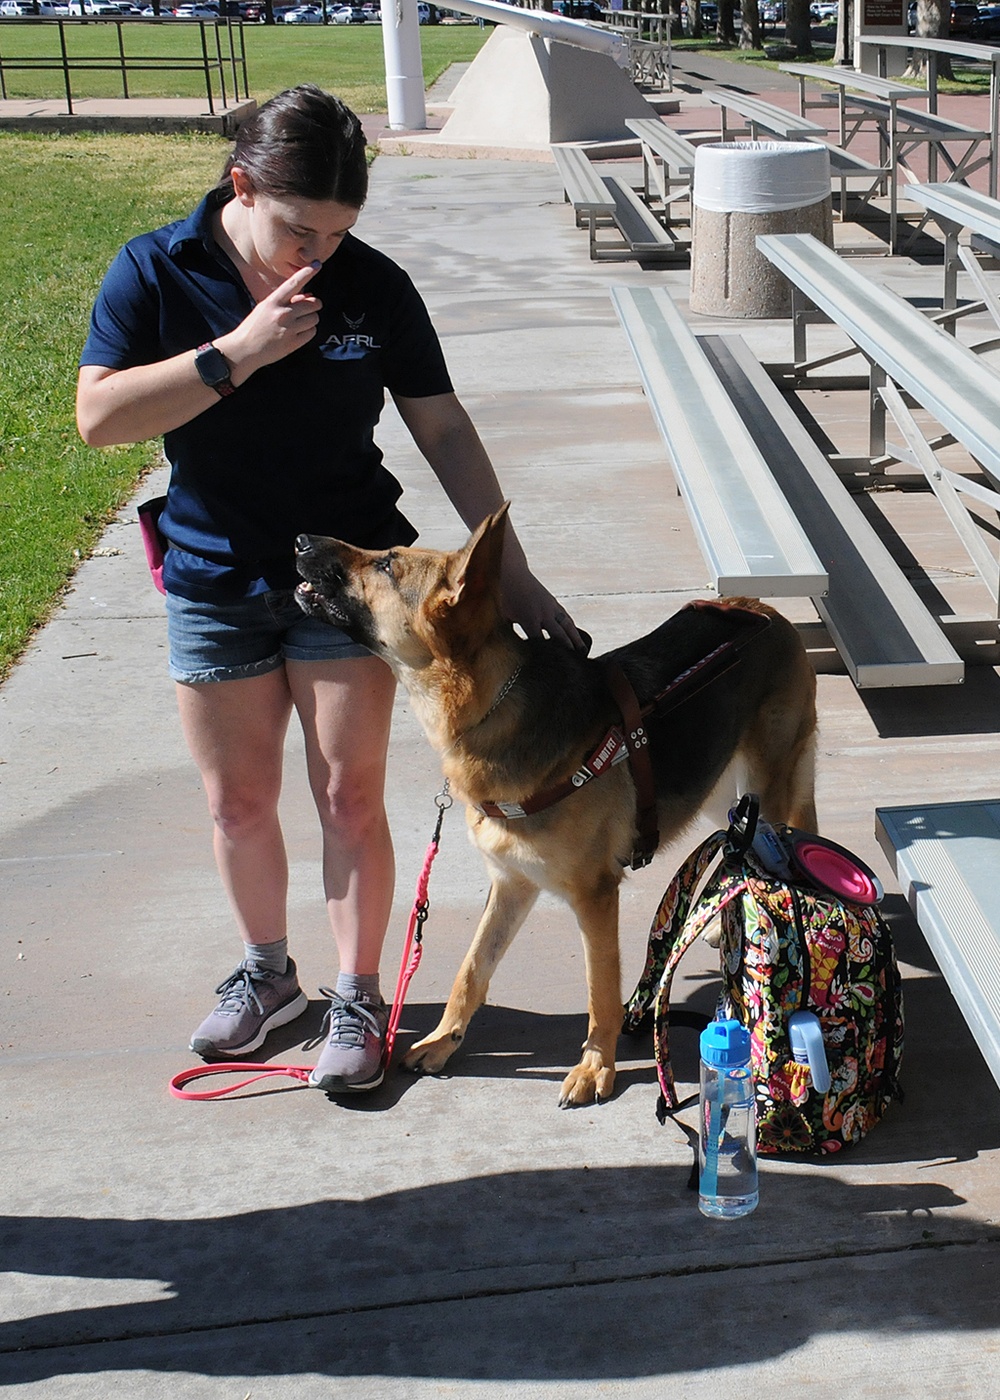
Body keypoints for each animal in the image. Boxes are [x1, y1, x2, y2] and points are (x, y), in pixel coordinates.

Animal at [292, 509, 812, 1108]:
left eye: (386, 563)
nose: (300, 539)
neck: (488, 710)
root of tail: (764, 611)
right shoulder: (510, 884)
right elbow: (471, 969)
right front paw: (445, 1040)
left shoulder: (594, 897)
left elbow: (600, 992)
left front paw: (596, 1067)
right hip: (719, 789)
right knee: (740, 842)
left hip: (771, 789)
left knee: (788, 849)